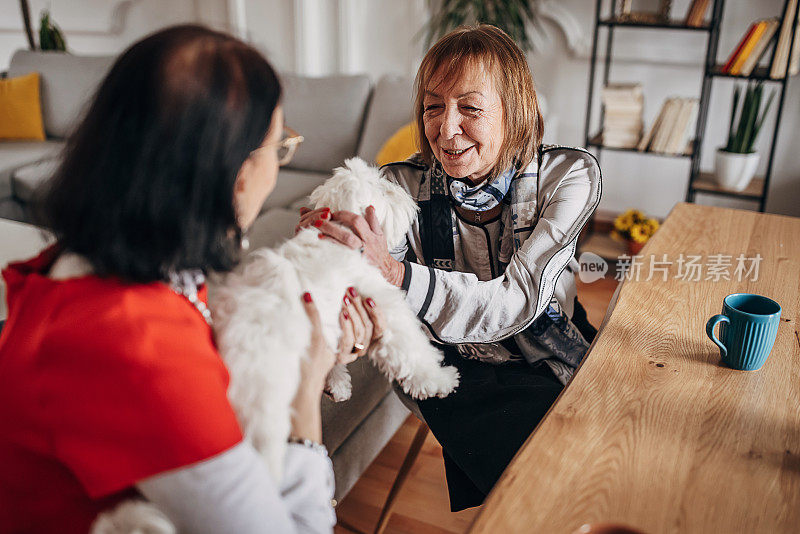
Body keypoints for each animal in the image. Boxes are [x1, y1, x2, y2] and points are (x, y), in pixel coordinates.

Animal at [90, 159, 456, 534]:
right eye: (384, 188)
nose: (408, 198)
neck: (335, 240)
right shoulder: (379, 302)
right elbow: (410, 348)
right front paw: (439, 380)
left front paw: (337, 382)